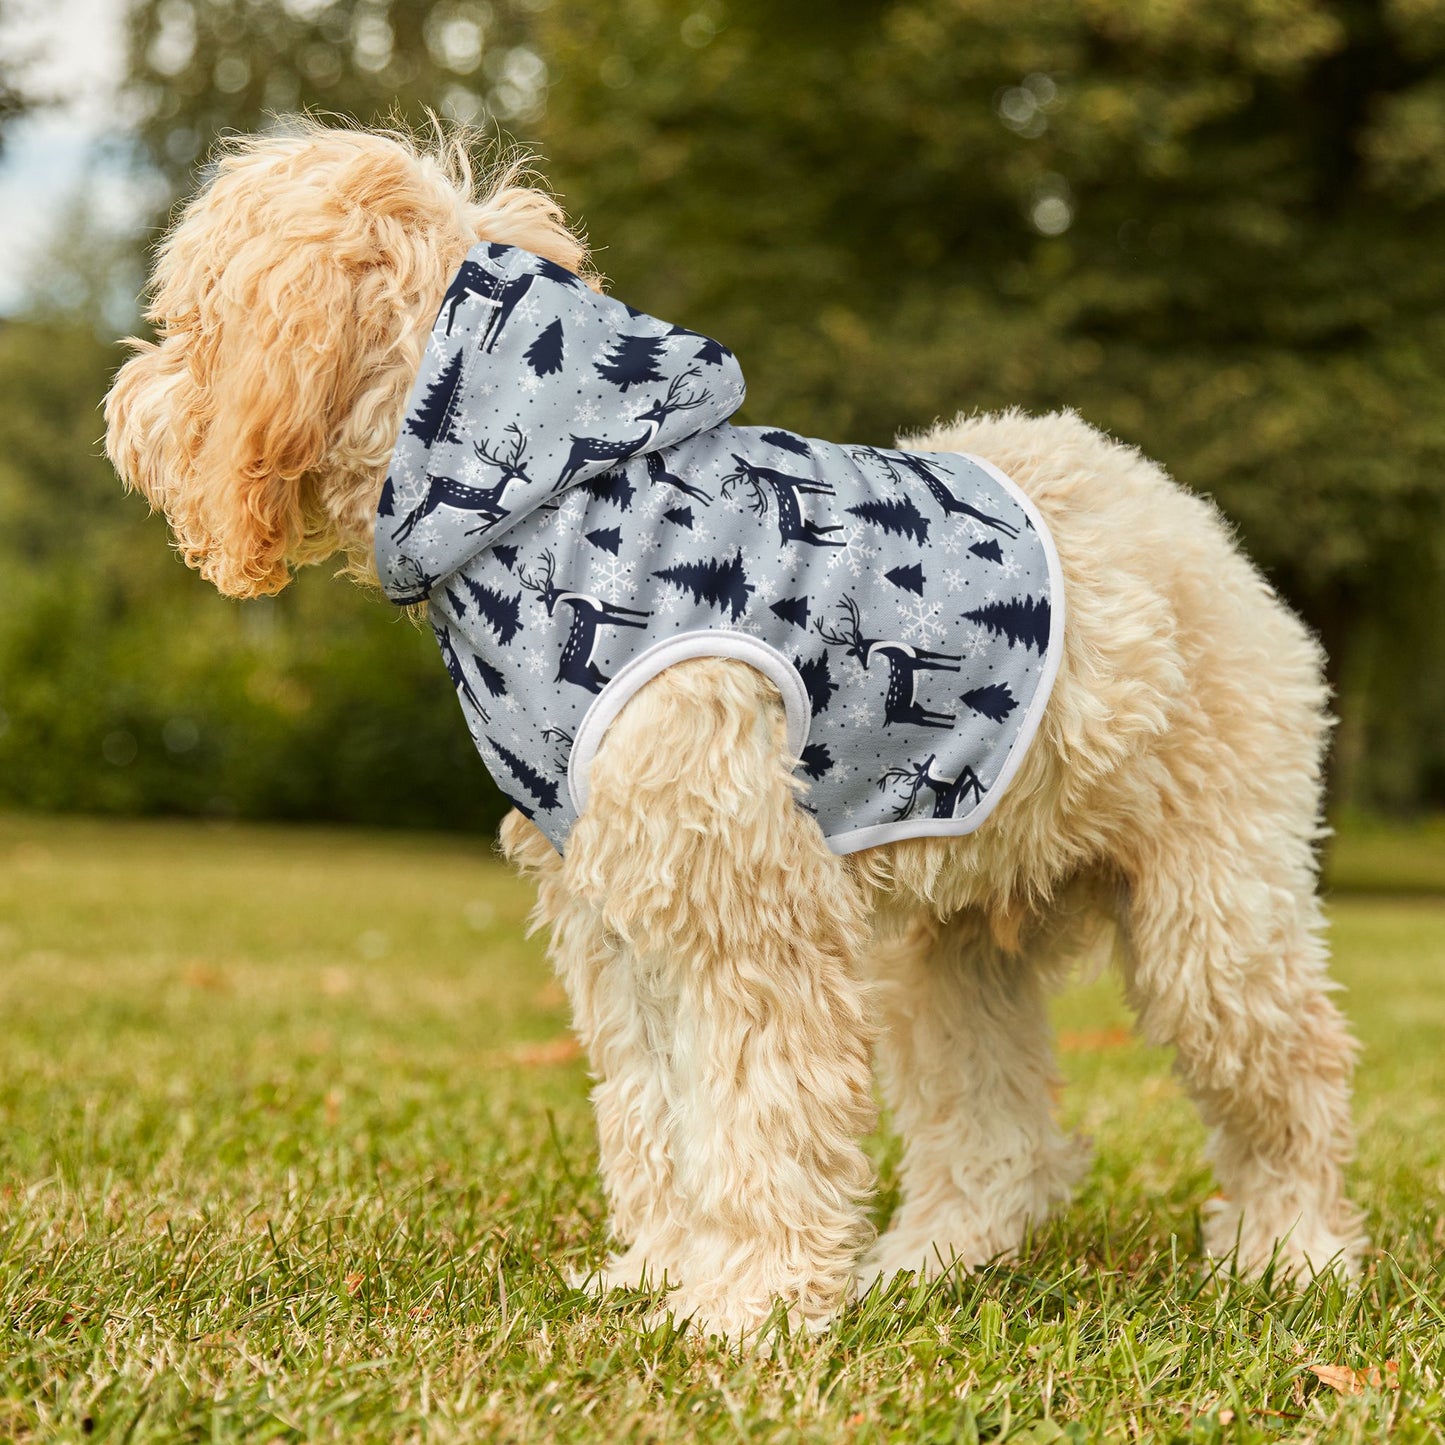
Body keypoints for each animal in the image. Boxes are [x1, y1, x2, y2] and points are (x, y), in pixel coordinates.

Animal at [518, 548, 652, 694]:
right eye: (546, 599)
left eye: (550, 596)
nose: (549, 614)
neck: (582, 601)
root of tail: (560, 675)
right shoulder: (595, 616)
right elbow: (619, 620)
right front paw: (644, 625)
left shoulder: (603, 606)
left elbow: (620, 609)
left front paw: (646, 614)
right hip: (582, 678)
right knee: (598, 690)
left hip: (592, 669)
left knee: (604, 680)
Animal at [556, 368, 714, 489]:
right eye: (653, 409)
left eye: (656, 413)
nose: (637, 418)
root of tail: (575, 438)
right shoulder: (619, 458)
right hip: (576, 457)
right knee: (565, 469)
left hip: (581, 461)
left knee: (569, 472)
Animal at [816, 595, 962, 729]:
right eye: (856, 653)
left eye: (861, 649)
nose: (866, 667)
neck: (895, 649)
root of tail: (888, 717)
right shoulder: (909, 662)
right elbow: (933, 665)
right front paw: (957, 668)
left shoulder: (916, 652)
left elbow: (933, 655)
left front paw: (959, 658)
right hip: (908, 716)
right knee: (926, 722)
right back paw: (951, 724)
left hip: (916, 708)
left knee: (928, 713)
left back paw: (953, 716)